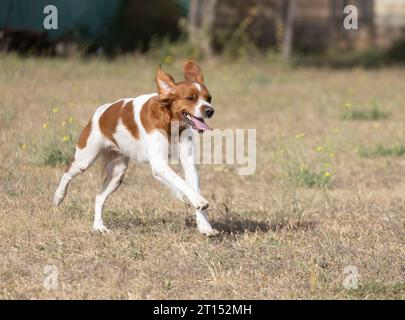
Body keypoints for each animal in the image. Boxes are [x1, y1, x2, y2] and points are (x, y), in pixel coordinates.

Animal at [55, 61, 218, 235]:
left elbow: (191, 187)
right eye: (190, 98)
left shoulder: (188, 164)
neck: (169, 121)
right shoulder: (159, 165)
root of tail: (100, 111)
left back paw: (99, 226)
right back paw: (58, 197)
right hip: (84, 159)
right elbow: (181, 183)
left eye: (209, 98)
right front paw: (199, 201)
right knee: (67, 174)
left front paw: (205, 226)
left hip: (117, 173)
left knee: (99, 197)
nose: (210, 110)